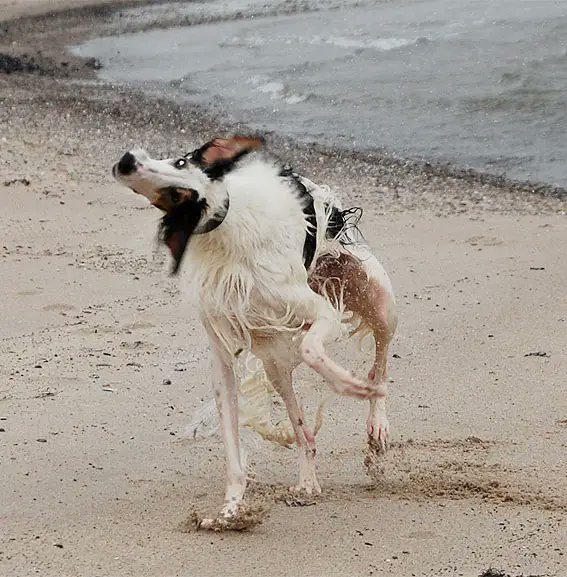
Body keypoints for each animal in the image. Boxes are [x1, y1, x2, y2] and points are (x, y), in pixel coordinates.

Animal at [113, 135, 398, 528]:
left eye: (181, 171)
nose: (127, 162)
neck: (226, 228)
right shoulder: (221, 357)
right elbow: (232, 448)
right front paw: (231, 509)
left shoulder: (321, 312)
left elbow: (314, 351)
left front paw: (347, 385)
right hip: (275, 366)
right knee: (303, 431)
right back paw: (307, 482)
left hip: (380, 301)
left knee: (379, 366)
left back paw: (377, 426)